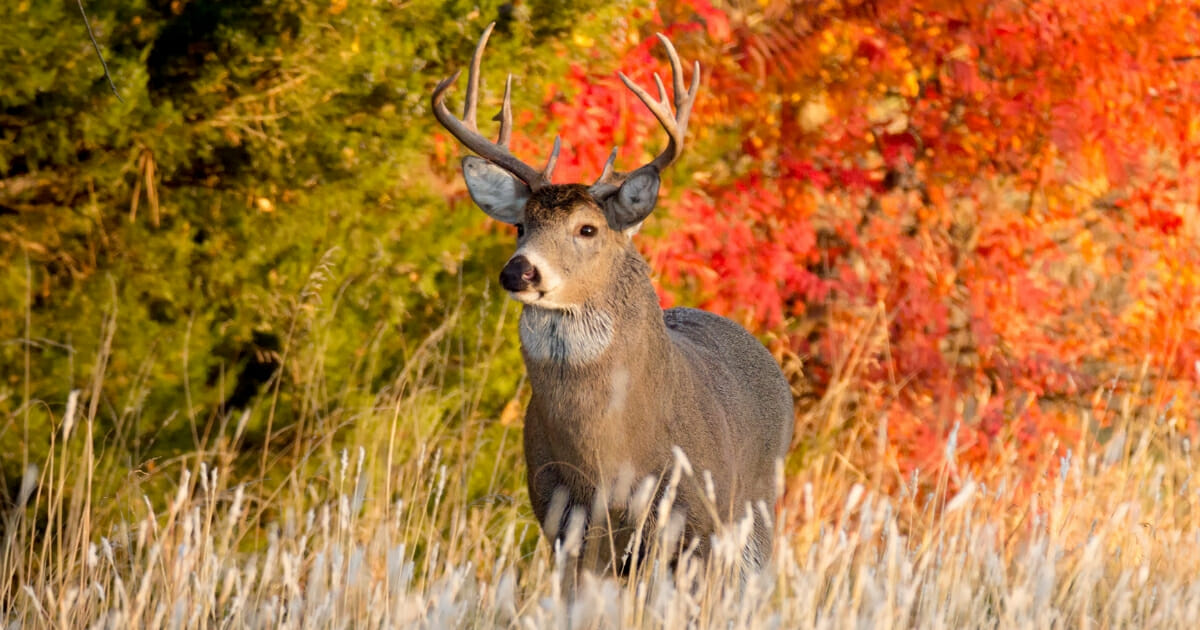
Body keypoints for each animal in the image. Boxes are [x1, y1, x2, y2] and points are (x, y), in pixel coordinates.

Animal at [431, 23, 793, 579]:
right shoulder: (564, 522)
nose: (518, 270)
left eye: (588, 229)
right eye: (520, 225)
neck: (610, 457)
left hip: (754, 514)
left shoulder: (694, 523)